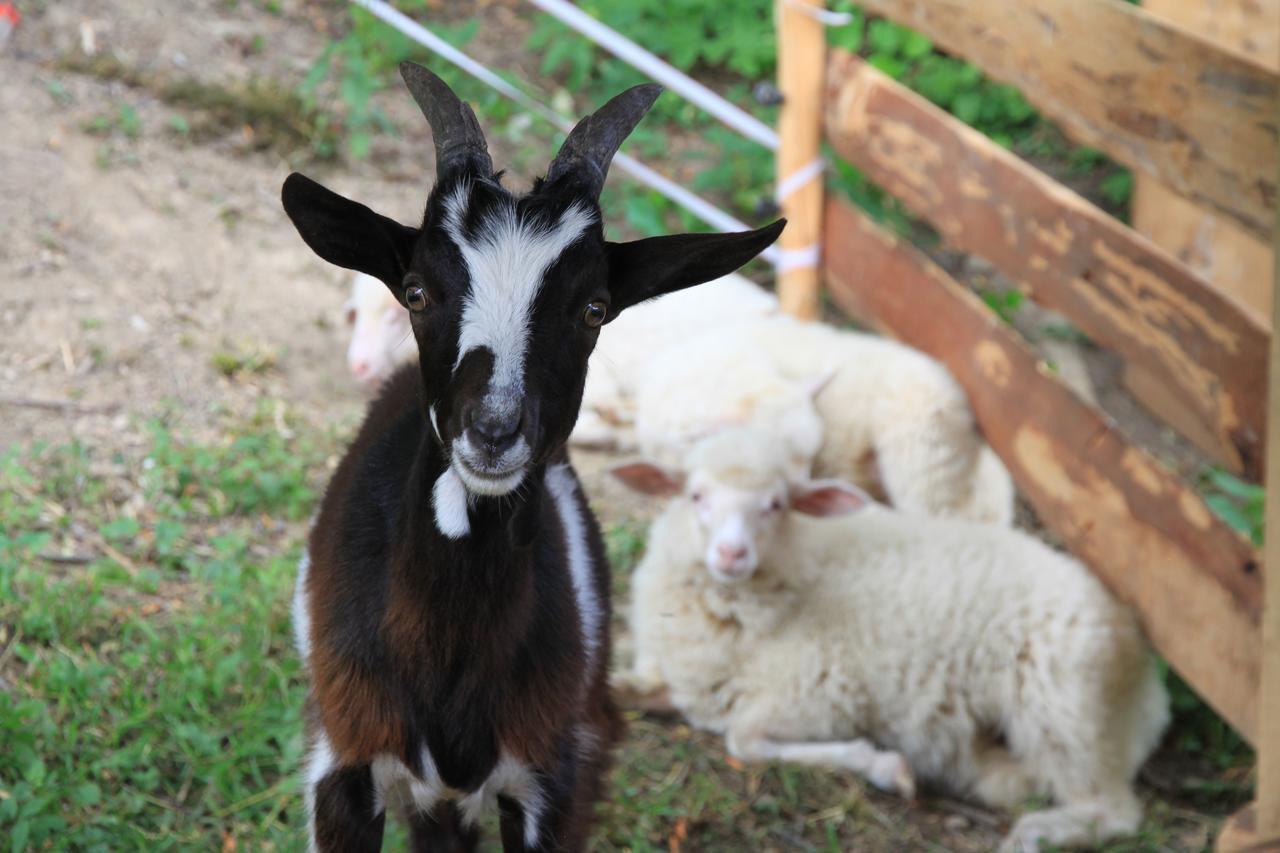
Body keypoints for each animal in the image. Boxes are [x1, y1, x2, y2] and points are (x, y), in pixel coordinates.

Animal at [616, 425, 1172, 850]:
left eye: (776, 505)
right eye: (695, 495)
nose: (732, 554)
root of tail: (1147, 679)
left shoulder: (821, 691)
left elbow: (744, 739)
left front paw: (883, 765)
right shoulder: (679, 680)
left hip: (1065, 708)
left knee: (1113, 810)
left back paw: (1033, 835)